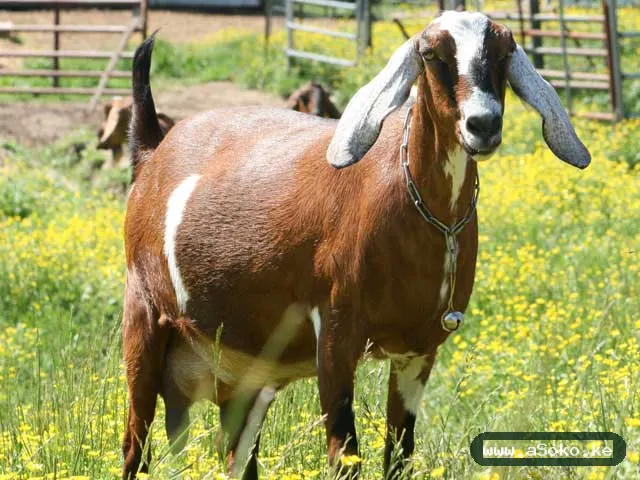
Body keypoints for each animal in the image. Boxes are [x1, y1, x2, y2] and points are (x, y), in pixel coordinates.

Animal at [121, 11, 590, 480]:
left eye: (505, 51)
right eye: (430, 53)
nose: (484, 124)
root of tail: (153, 151)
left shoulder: (417, 353)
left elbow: (399, 454)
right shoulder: (334, 336)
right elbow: (345, 456)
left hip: (246, 370)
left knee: (238, 456)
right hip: (143, 318)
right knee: (135, 445)